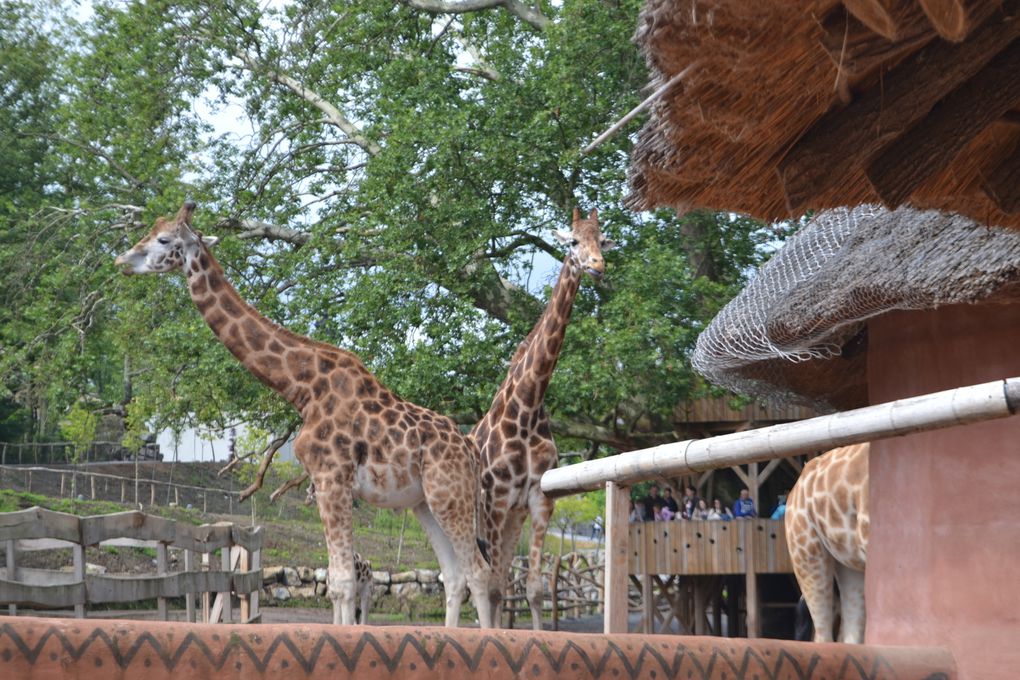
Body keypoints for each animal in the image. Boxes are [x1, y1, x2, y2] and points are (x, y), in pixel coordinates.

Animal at [114, 201, 489, 628]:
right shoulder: (326, 484)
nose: (122, 260)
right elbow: (337, 585)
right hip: (424, 503)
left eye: (163, 239)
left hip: (450, 496)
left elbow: (341, 583)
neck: (302, 388)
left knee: (478, 571)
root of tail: (471, 450)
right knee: (454, 576)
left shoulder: (331, 481)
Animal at [469, 205, 612, 628]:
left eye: (602, 240)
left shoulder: (537, 500)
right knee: (471, 580)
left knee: (496, 581)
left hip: (511, 521)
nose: (597, 267)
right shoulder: (497, 499)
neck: (528, 407)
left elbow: (532, 590)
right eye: (573, 241)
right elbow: (494, 587)